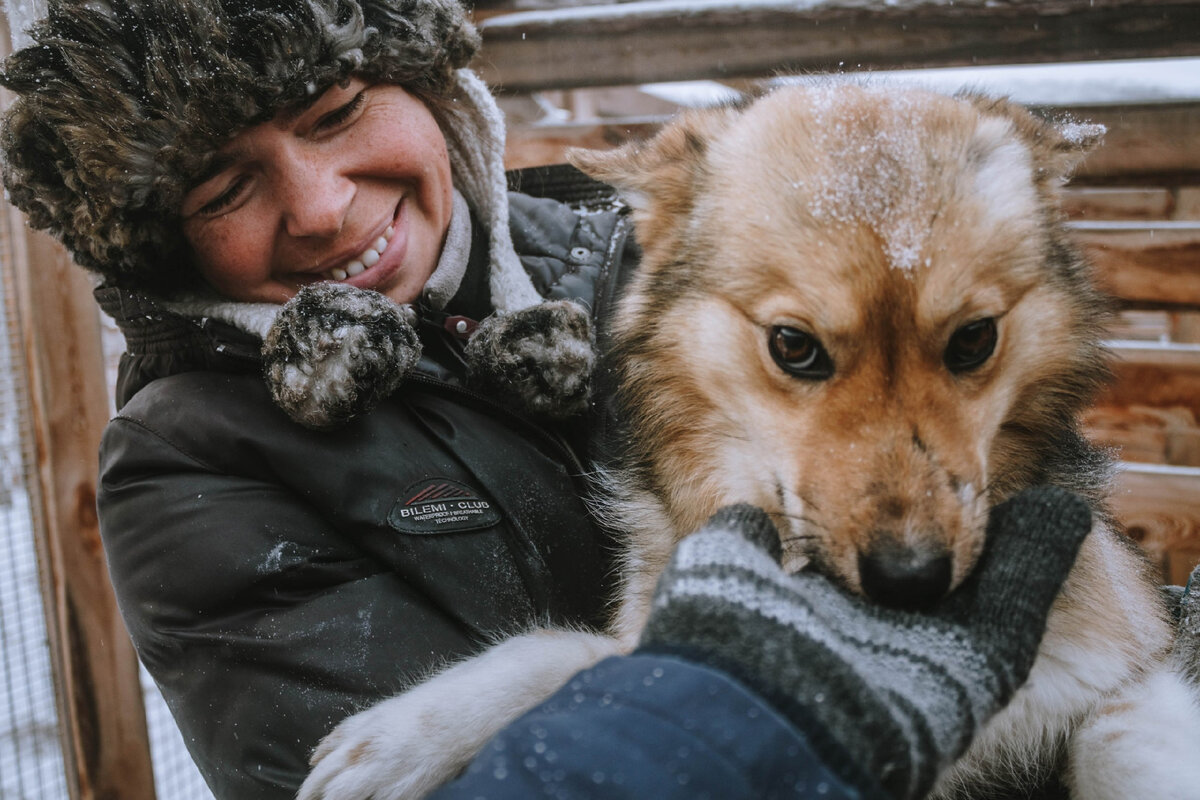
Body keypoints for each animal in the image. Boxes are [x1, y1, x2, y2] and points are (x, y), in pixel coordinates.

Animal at [297, 86, 1200, 800]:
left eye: (975, 339)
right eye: (793, 347)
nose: (912, 580)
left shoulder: (1130, 663)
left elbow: (1118, 732)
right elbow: (577, 656)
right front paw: (408, 734)